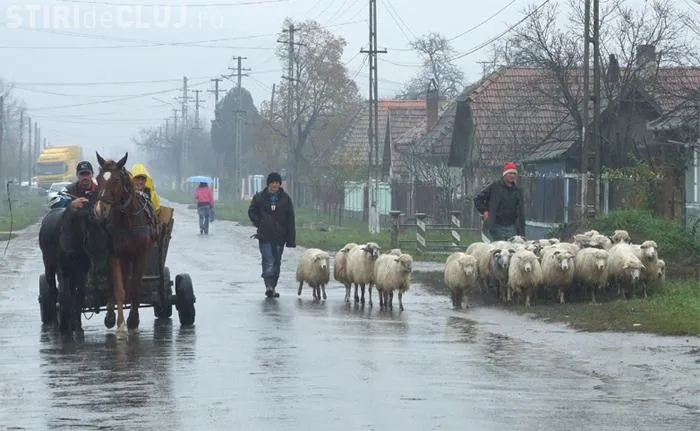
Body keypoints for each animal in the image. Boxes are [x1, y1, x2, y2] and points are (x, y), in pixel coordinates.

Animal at [39, 202, 110, 333]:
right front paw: (64, 325)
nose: (102, 268)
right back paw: (57, 322)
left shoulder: (81, 270)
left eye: (106, 238)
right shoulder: (62, 268)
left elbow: (79, 294)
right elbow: (63, 294)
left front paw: (77, 324)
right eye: (90, 239)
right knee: (53, 291)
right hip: (49, 266)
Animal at [93, 152, 156, 332]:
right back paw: (110, 313)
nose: (100, 209)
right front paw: (120, 323)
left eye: (115, 180)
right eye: (98, 178)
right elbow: (119, 289)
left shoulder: (141, 255)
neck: (127, 220)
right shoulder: (114, 255)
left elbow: (134, 287)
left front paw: (133, 319)